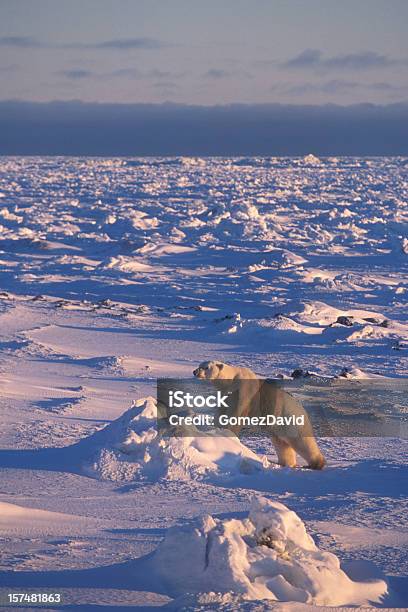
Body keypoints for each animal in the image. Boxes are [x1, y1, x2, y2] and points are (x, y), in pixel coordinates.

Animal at [194, 360, 326, 470]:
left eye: (206, 367)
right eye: (199, 365)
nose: (195, 372)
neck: (230, 381)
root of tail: (302, 408)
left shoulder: (243, 393)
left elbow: (236, 414)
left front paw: (229, 435)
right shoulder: (224, 394)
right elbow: (221, 412)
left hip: (289, 419)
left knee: (301, 441)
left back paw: (316, 464)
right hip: (278, 426)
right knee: (282, 444)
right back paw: (285, 463)